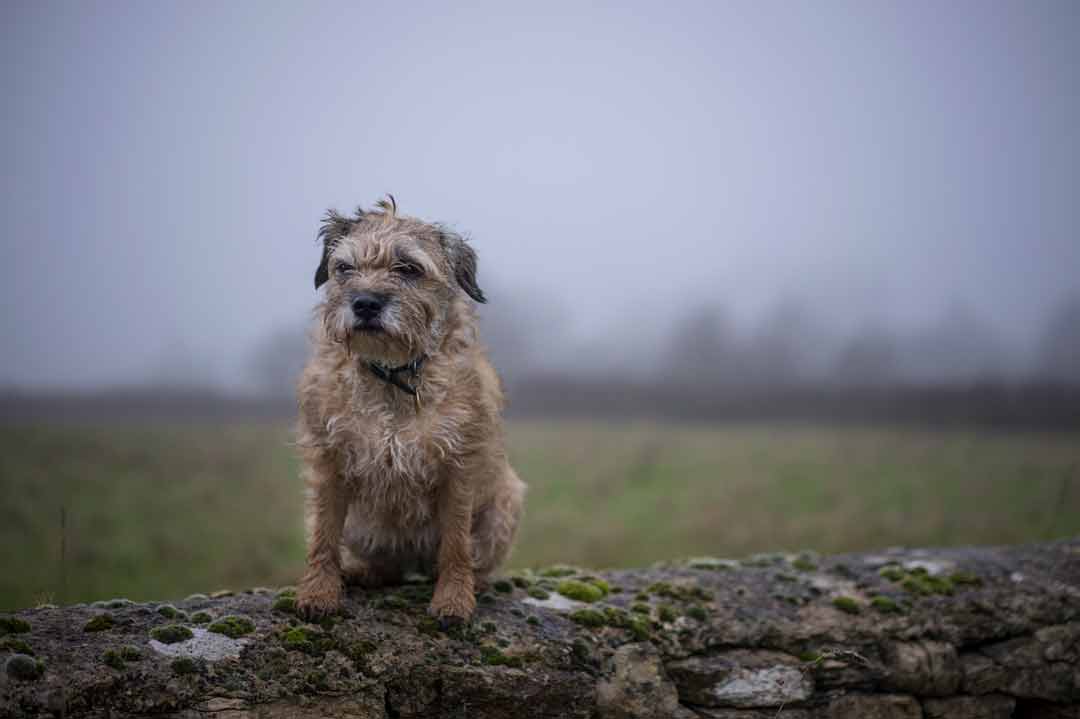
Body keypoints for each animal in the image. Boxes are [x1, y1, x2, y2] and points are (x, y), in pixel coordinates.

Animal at [293, 196, 524, 621]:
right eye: (345, 268)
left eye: (409, 269)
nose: (365, 303)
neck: (392, 375)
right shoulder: (328, 460)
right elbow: (323, 536)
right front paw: (318, 592)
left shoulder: (458, 466)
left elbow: (456, 543)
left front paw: (454, 599)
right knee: (384, 565)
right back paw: (363, 571)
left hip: (507, 500)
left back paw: (478, 582)